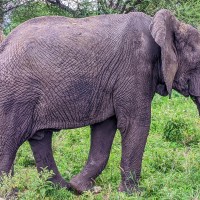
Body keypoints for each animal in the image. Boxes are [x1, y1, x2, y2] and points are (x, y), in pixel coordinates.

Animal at [0, 9, 200, 194]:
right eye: (198, 63)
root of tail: (5, 43)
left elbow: (105, 128)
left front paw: (81, 188)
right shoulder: (135, 67)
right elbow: (135, 123)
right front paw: (134, 193)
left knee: (40, 138)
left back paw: (61, 188)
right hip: (16, 94)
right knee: (9, 141)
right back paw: (11, 194)